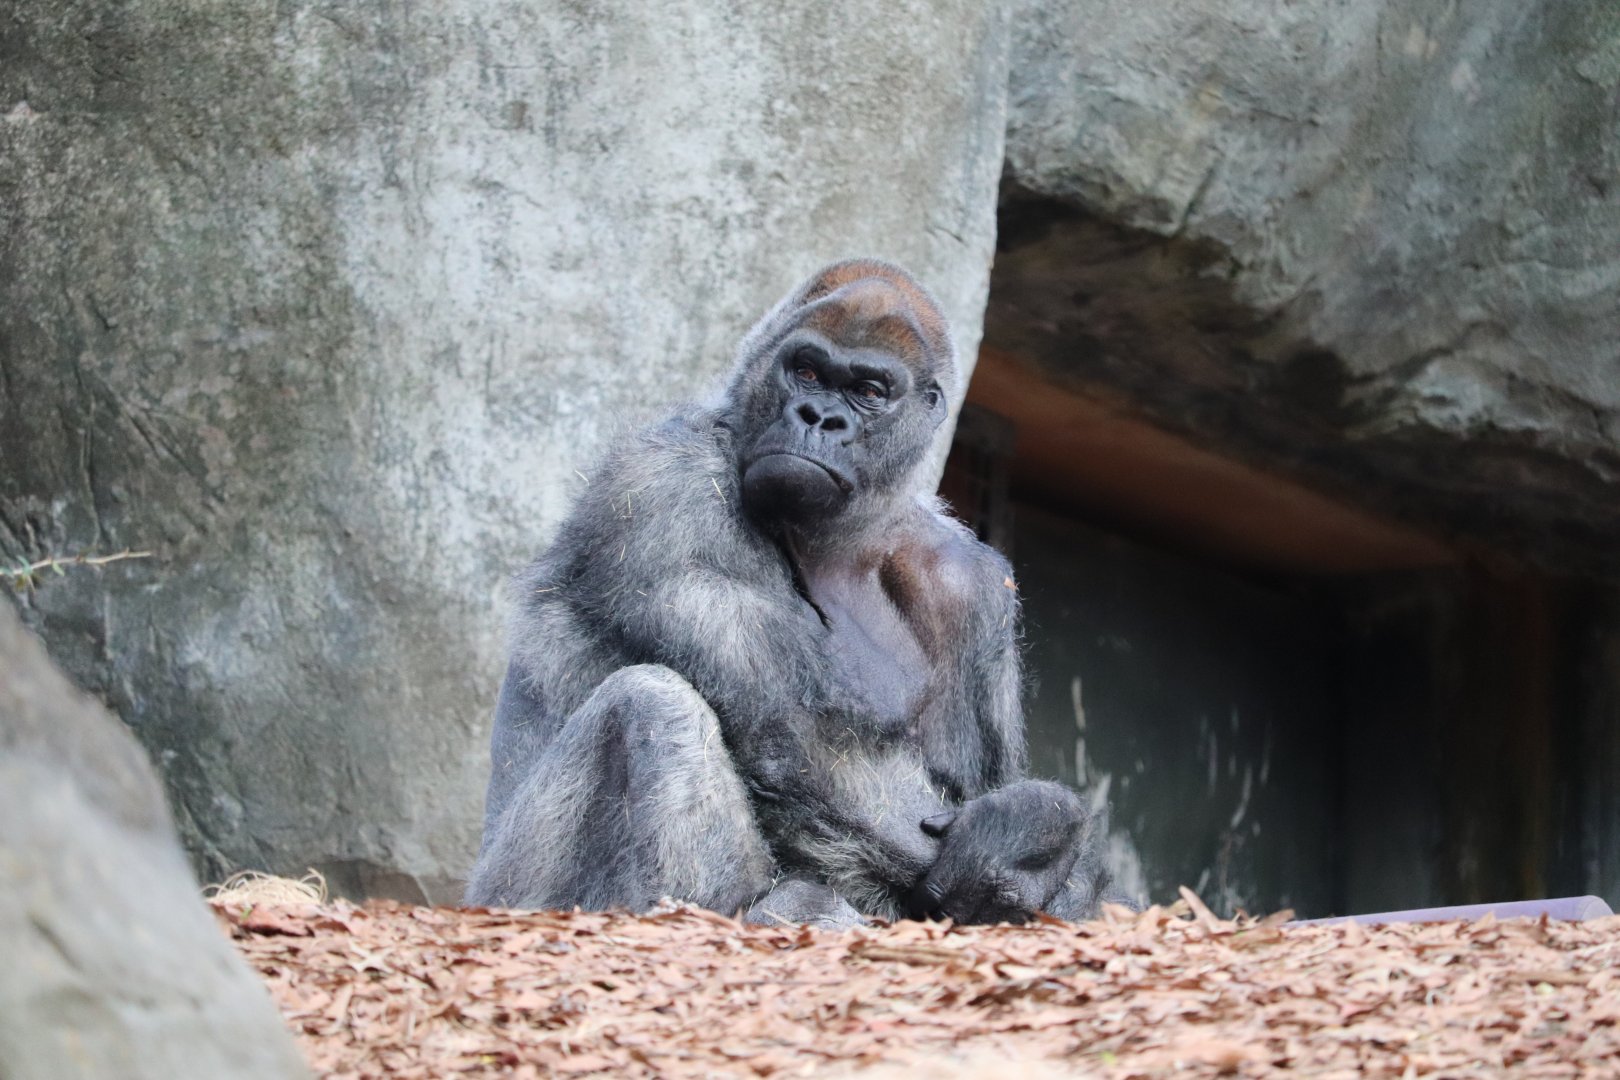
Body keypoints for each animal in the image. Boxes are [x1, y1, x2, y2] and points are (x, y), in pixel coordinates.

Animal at [465, 259, 1118, 926]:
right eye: (804, 371)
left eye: (868, 392)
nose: (817, 418)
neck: (845, 539)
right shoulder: (661, 481)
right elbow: (797, 738)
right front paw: (1041, 851)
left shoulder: (971, 583)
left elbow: (983, 785)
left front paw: (1038, 832)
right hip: (506, 898)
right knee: (654, 703)